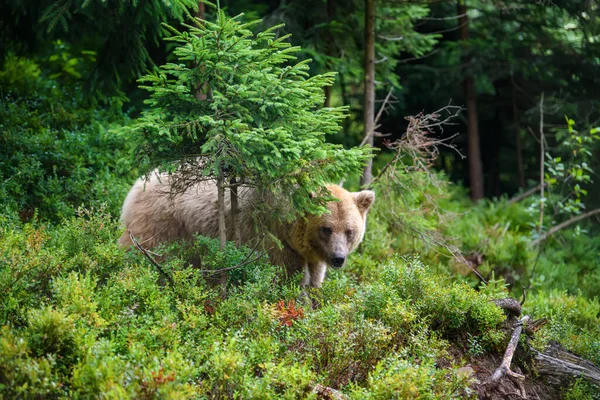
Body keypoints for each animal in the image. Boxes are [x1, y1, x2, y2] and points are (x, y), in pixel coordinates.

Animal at [118, 173, 376, 286]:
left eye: (349, 231)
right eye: (326, 228)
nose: (338, 258)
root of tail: (138, 182)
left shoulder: (309, 256)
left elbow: (314, 280)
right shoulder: (273, 243)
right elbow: (287, 279)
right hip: (162, 225)